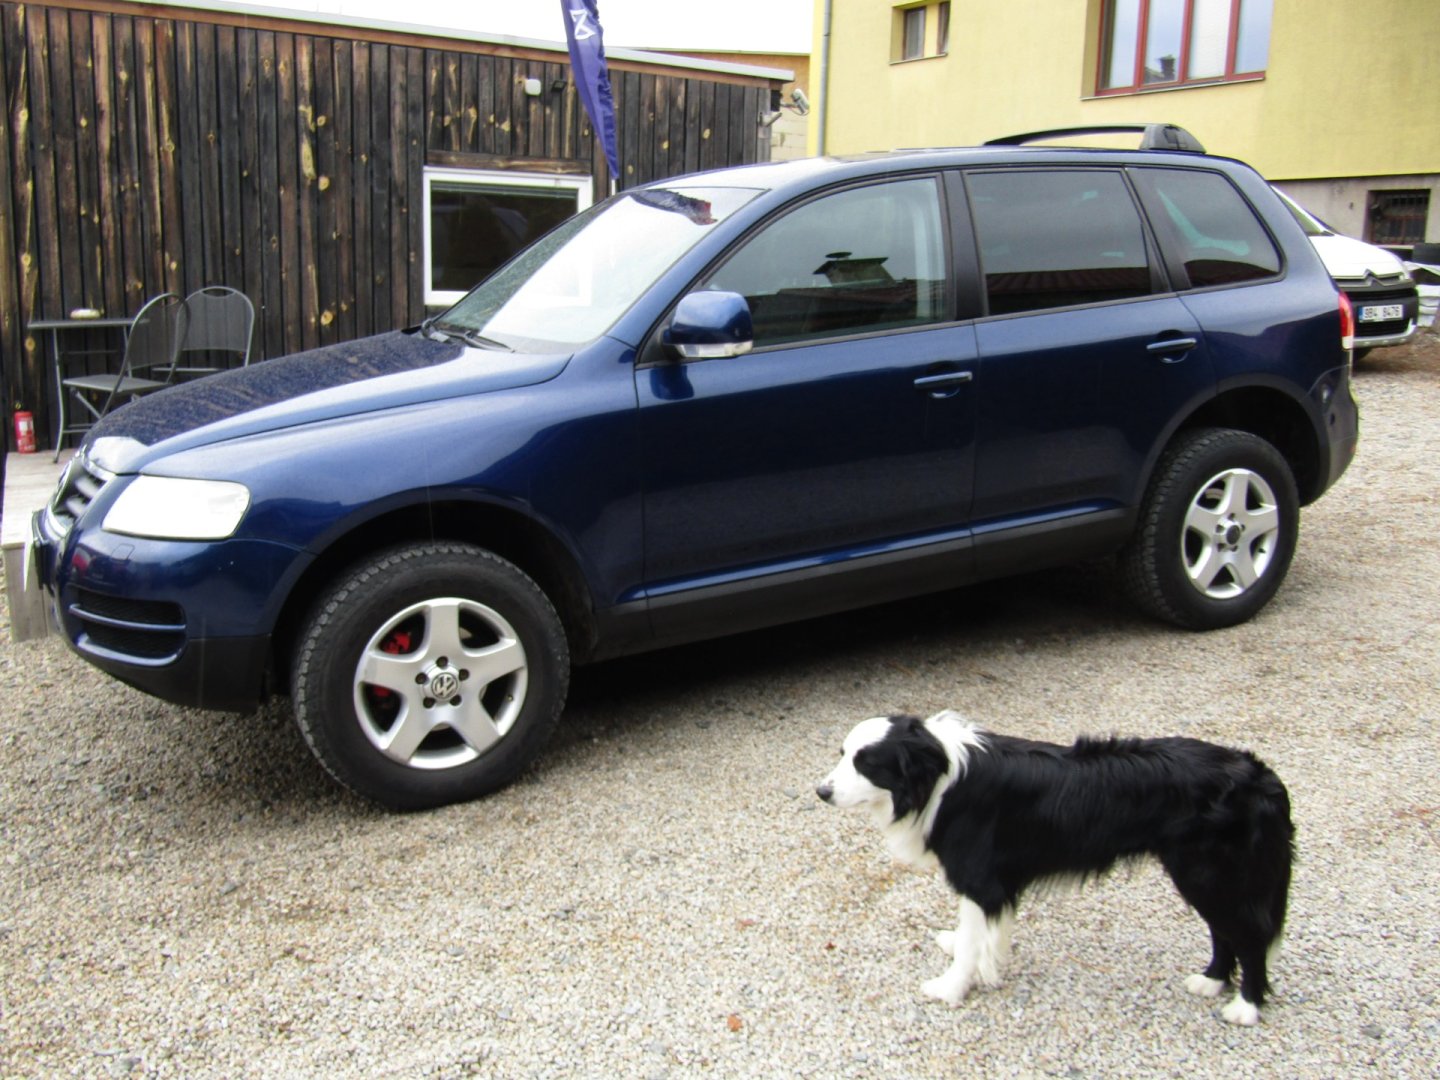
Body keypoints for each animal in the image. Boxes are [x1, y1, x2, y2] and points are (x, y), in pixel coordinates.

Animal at [816, 711, 1294, 1026]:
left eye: (866, 763)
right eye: (842, 754)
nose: (821, 792)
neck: (938, 779)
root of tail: (1261, 775)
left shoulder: (979, 879)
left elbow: (972, 941)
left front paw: (951, 988)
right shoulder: (996, 884)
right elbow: (986, 933)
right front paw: (984, 961)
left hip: (1209, 874)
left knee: (1249, 937)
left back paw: (1246, 1006)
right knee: (1224, 932)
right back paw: (1211, 981)